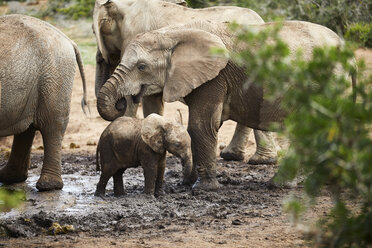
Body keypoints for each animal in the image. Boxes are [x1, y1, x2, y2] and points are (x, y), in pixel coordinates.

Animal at [0, 14, 88, 191]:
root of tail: (69, 40)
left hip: (54, 73)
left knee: (52, 125)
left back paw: (48, 186)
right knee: (26, 128)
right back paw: (8, 177)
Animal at [97, 20, 348, 190]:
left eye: (141, 67)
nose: (123, 101)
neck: (173, 33)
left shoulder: (215, 77)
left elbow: (201, 126)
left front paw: (203, 189)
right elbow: (203, 127)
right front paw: (189, 183)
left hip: (327, 83)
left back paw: (280, 185)